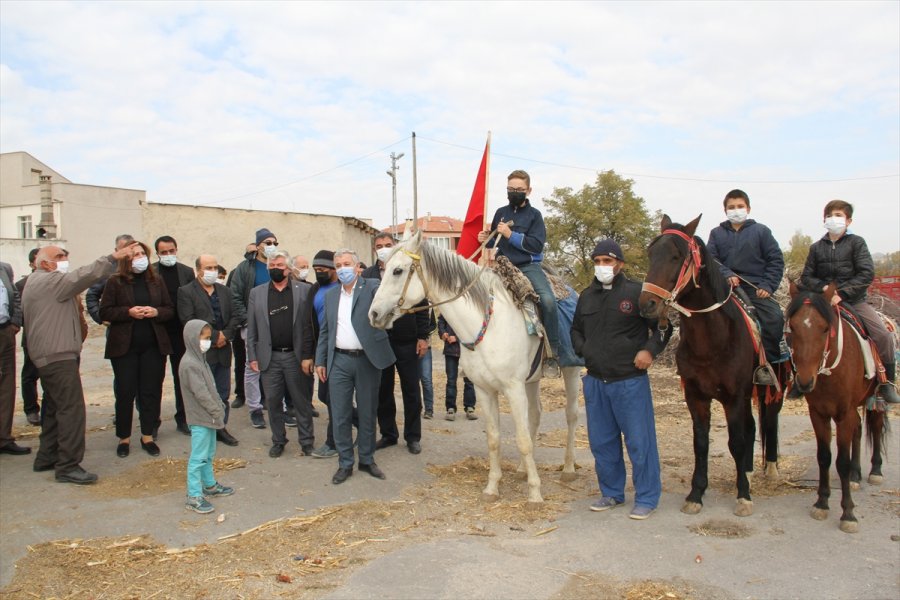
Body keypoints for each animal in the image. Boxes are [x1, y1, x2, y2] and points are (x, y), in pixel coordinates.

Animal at [368, 232, 584, 504]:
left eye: (398, 270)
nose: (373, 314)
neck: (487, 324)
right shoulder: (484, 389)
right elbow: (493, 438)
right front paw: (492, 488)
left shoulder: (513, 388)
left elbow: (522, 439)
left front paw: (535, 493)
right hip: (532, 380)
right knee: (535, 415)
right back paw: (523, 469)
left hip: (571, 371)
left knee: (571, 415)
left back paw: (568, 469)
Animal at [636, 214, 784, 516]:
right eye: (650, 253)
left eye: (676, 256)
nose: (648, 304)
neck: (712, 341)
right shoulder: (696, 397)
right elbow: (701, 443)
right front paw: (696, 493)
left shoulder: (734, 397)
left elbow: (736, 442)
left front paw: (743, 496)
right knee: (752, 426)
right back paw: (747, 471)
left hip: (770, 389)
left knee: (769, 421)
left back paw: (770, 470)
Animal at [788, 280, 884, 528]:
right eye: (792, 327)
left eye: (824, 328)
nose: (804, 381)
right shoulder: (818, 413)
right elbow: (824, 457)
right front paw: (822, 503)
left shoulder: (843, 414)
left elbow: (841, 462)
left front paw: (848, 513)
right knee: (858, 428)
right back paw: (856, 475)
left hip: (875, 400)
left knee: (876, 427)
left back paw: (875, 471)